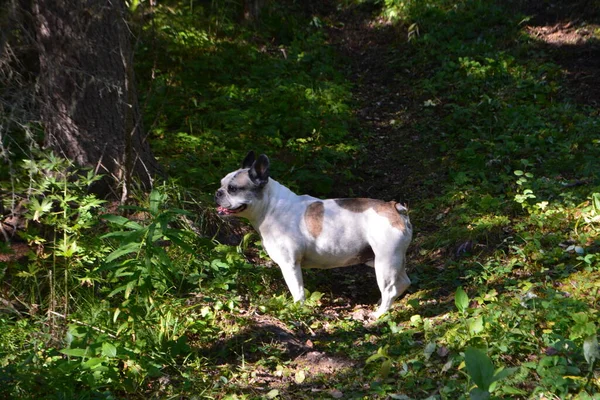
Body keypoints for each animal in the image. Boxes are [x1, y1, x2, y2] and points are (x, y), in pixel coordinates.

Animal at [216, 152, 412, 318]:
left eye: (233, 189)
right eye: (221, 184)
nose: (217, 193)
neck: (270, 206)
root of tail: (395, 208)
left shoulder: (290, 264)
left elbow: (297, 290)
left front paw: (297, 309)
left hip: (385, 261)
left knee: (390, 289)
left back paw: (379, 315)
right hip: (394, 259)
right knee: (403, 282)